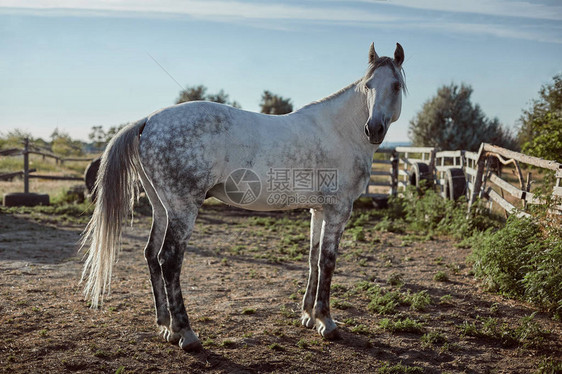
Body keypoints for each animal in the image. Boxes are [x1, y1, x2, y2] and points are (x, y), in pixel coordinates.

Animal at [81, 42, 404, 352]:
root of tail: (147, 120)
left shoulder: (319, 210)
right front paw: (326, 322)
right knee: (169, 260)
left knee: (151, 255)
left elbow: (313, 259)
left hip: (162, 208)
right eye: (368, 86)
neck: (339, 131)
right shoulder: (338, 210)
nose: (374, 129)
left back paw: (166, 327)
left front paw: (308, 316)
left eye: (395, 85)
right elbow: (327, 261)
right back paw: (186, 333)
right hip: (183, 209)